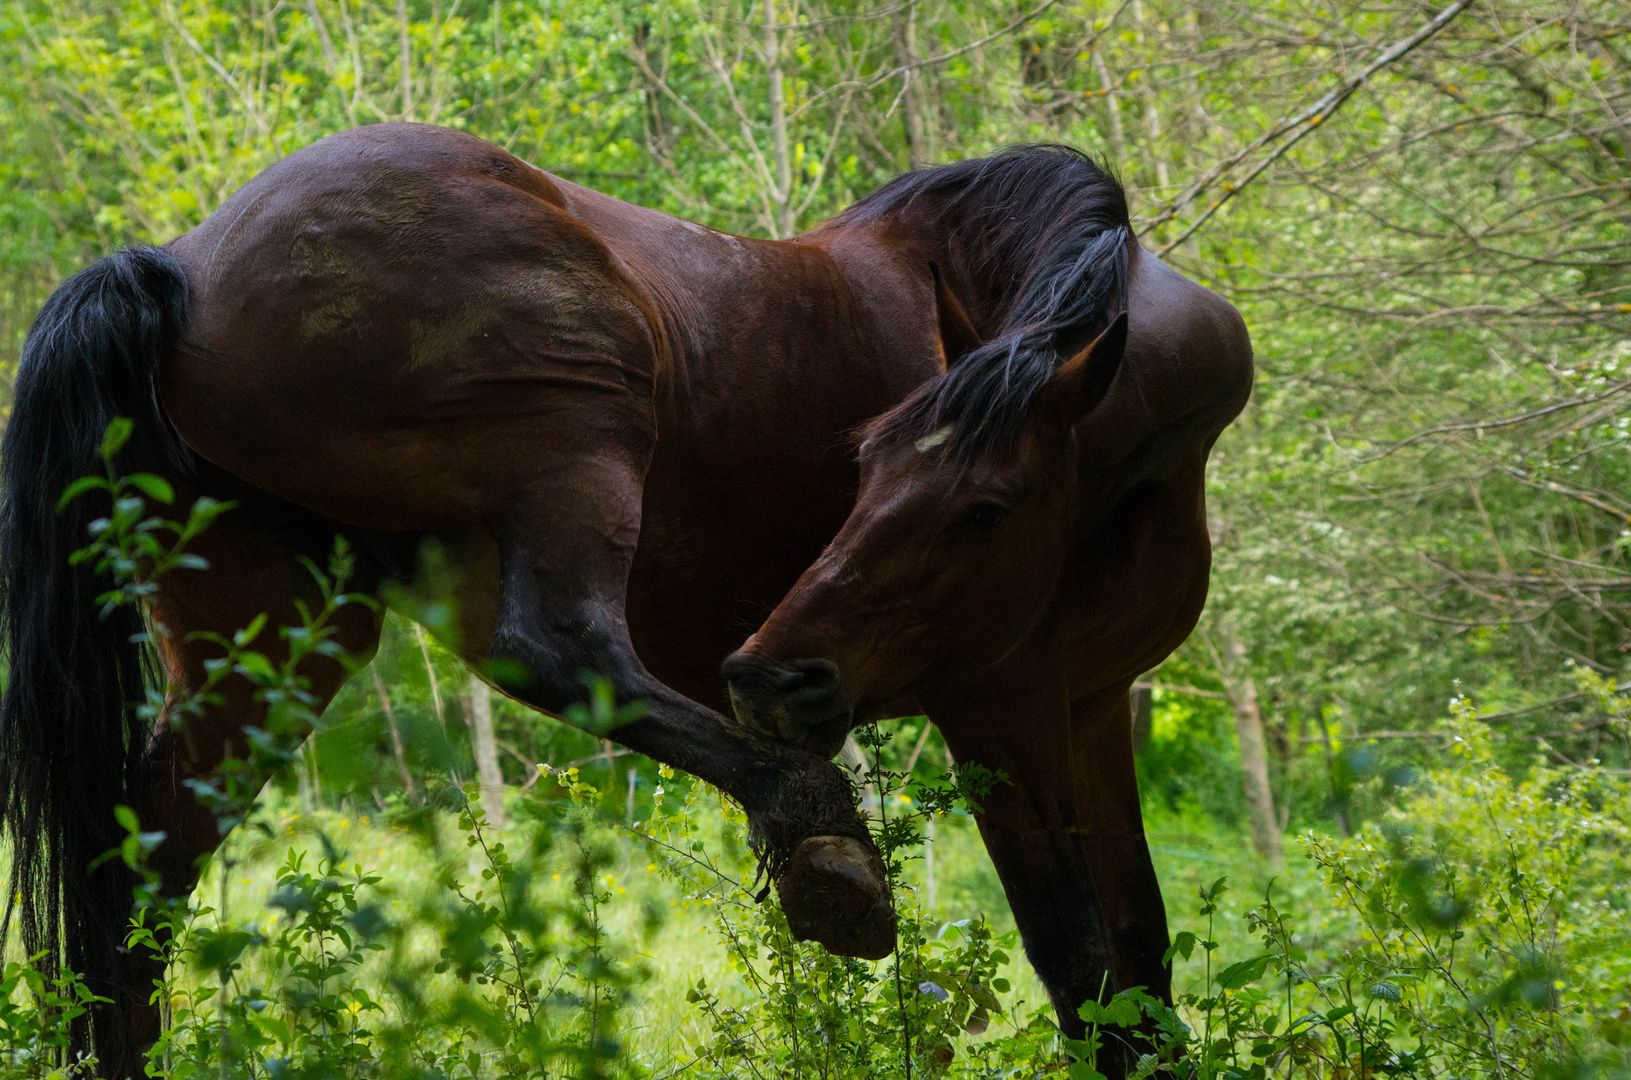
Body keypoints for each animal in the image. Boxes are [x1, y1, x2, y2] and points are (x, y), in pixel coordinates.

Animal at [0, 124, 1246, 1076]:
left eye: (984, 506)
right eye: (862, 467)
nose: (773, 677)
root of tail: (178, 267)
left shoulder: (1088, 704)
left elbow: (1139, 949)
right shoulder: (1000, 708)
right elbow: (1081, 967)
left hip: (273, 642)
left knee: (142, 869)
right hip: (582, 425)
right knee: (561, 648)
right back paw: (817, 834)